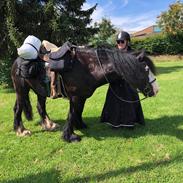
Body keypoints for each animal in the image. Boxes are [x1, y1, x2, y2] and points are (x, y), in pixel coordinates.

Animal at [11, 46, 159, 142]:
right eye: (146, 69)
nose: (156, 89)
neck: (88, 68)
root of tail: (17, 61)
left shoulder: (82, 97)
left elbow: (78, 112)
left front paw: (80, 125)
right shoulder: (75, 97)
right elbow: (71, 114)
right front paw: (69, 136)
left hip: (40, 90)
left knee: (40, 107)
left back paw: (49, 125)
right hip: (21, 90)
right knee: (18, 109)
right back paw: (21, 131)